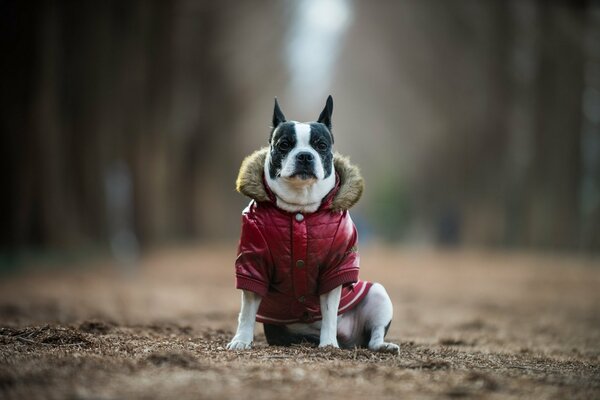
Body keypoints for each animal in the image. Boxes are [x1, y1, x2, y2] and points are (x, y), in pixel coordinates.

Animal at [226, 97, 398, 354]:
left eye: (321, 145)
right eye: (284, 145)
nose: (305, 155)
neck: (300, 208)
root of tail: (350, 338)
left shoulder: (335, 266)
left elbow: (329, 312)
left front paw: (328, 343)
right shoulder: (253, 261)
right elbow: (247, 310)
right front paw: (241, 340)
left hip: (378, 294)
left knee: (373, 337)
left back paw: (381, 345)